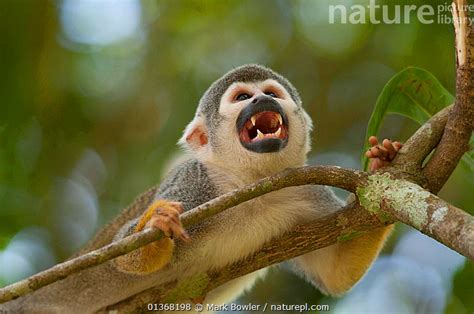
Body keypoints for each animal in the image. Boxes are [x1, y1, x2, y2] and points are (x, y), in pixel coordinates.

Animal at [0, 63, 400, 312]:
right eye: (243, 98)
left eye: (272, 93)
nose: (262, 100)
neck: (247, 184)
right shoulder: (191, 184)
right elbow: (123, 250)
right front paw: (157, 225)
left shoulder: (307, 193)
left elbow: (336, 272)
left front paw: (384, 162)